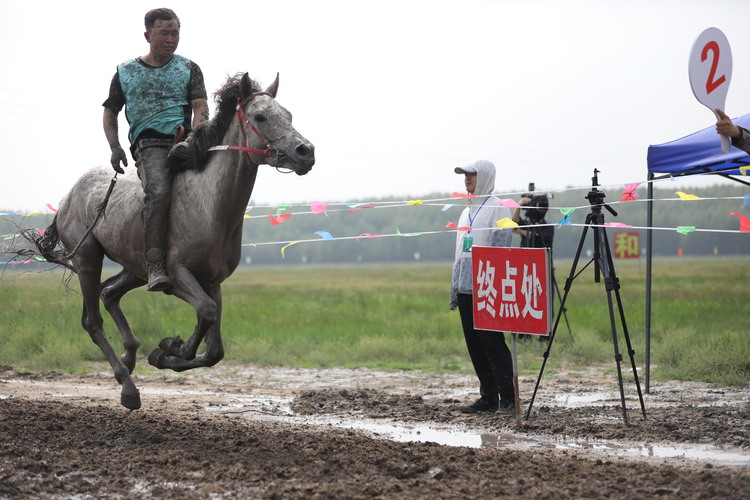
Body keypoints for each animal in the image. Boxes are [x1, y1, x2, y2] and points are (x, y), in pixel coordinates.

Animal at [35, 75, 314, 410]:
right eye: (260, 116)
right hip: (89, 259)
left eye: (288, 115)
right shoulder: (177, 275)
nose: (305, 151)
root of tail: (68, 198)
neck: (210, 204)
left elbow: (215, 349)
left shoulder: (212, 282)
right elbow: (205, 312)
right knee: (92, 320)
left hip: (135, 268)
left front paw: (162, 353)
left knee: (109, 293)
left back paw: (130, 355)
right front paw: (172, 347)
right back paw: (127, 386)